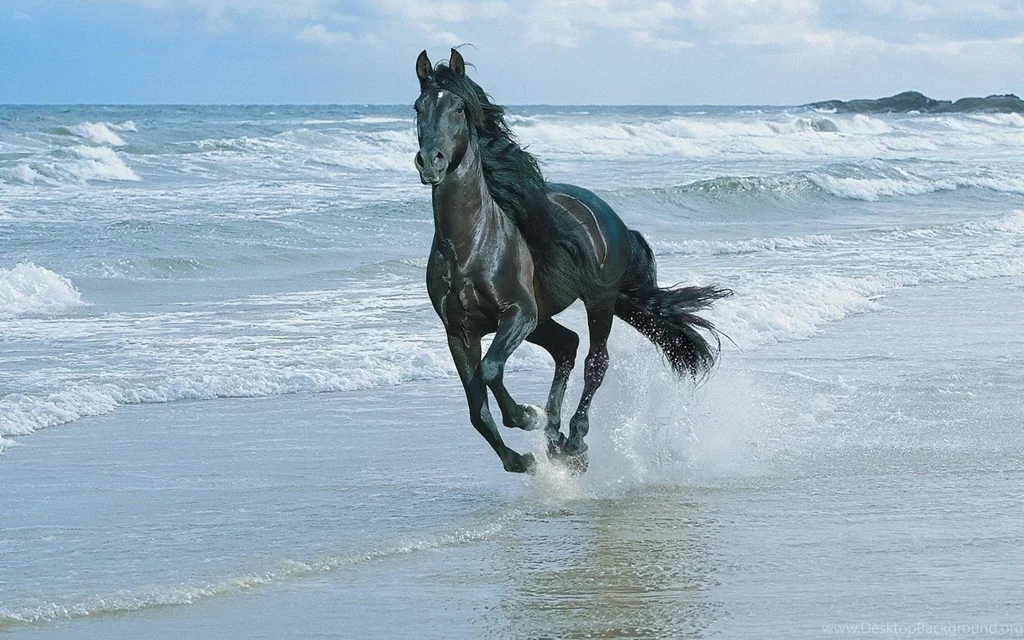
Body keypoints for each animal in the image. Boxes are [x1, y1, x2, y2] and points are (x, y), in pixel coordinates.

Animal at [414, 49, 731, 474]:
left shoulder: (518, 314)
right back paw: (555, 438)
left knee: (595, 361)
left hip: (598, 302)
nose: (430, 162)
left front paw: (526, 416)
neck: (470, 246)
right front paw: (522, 458)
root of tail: (611, 217)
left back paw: (574, 439)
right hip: (544, 318)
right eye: (418, 107)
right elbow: (477, 409)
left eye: (460, 108)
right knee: (567, 345)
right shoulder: (459, 332)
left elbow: (491, 371)